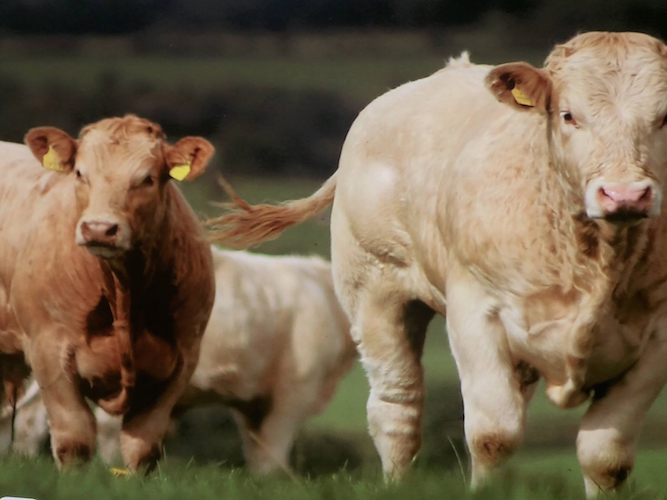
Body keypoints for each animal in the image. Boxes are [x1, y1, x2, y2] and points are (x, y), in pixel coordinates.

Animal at [0, 115, 216, 472]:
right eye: (79, 173)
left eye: (148, 178)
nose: (99, 229)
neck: (123, 289)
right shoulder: (48, 349)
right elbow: (74, 438)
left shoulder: (184, 357)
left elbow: (142, 446)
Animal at [205, 32, 667, 497]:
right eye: (569, 115)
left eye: (664, 118)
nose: (625, 195)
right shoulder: (476, 312)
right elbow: (493, 435)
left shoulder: (656, 340)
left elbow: (605, 457)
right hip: (375, 294)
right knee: (397, 409)